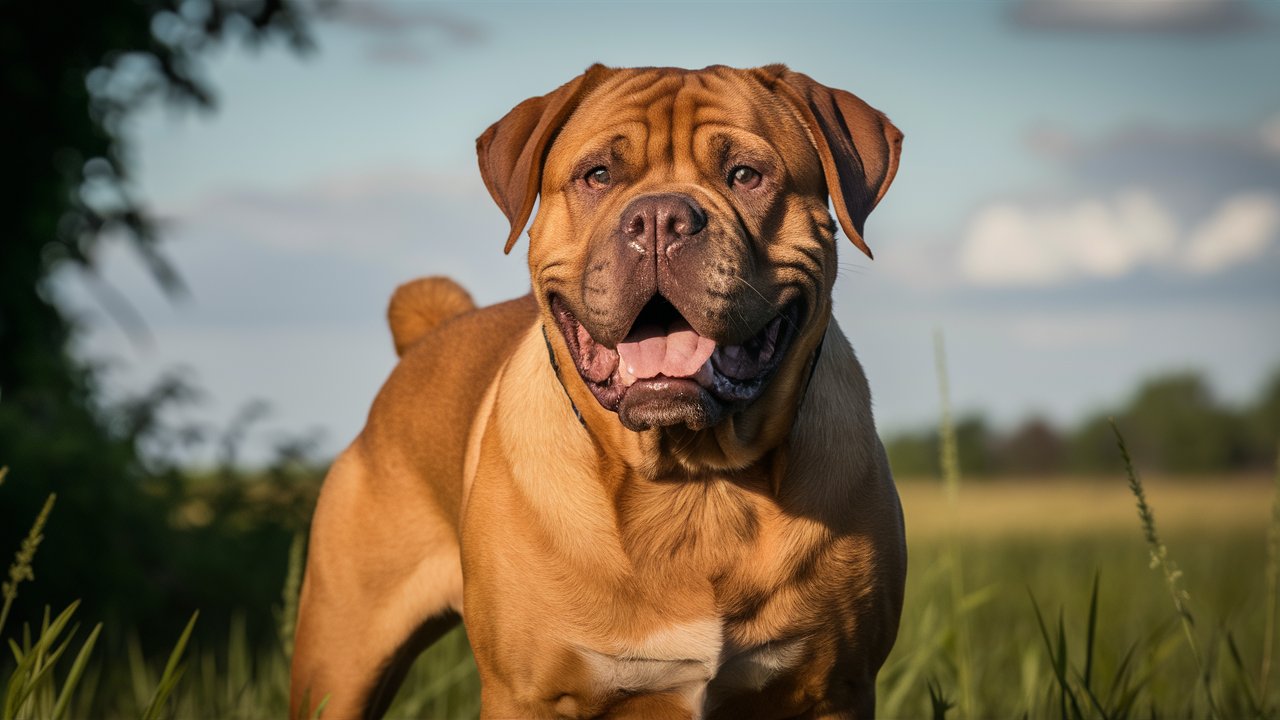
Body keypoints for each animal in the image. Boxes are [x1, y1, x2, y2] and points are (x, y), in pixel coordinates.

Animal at [293, 64, 911, 712]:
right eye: (598, 176)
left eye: (746, 174)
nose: (661, 219)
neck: (695, 483)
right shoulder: (522, 695)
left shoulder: (836, 689)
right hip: (338, 662)